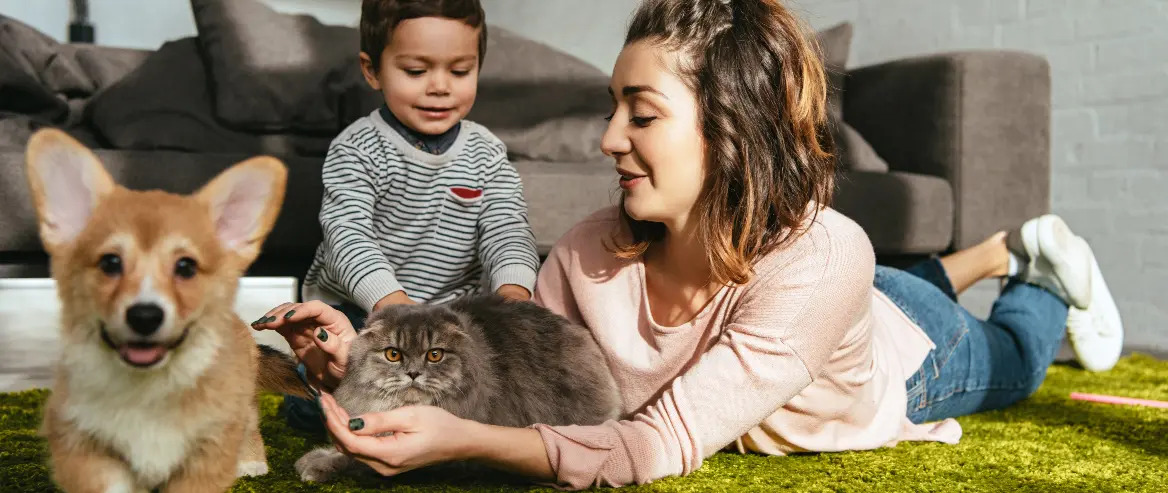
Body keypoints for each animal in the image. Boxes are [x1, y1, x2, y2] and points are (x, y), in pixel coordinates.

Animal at [27, 129, 310, 490]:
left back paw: (251, 462)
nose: (145, 316)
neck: (148, 390)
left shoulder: (205, 452)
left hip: (242, 406)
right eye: (110, 263)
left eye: (185, 267)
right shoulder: (86, 448)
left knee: (250, 425)